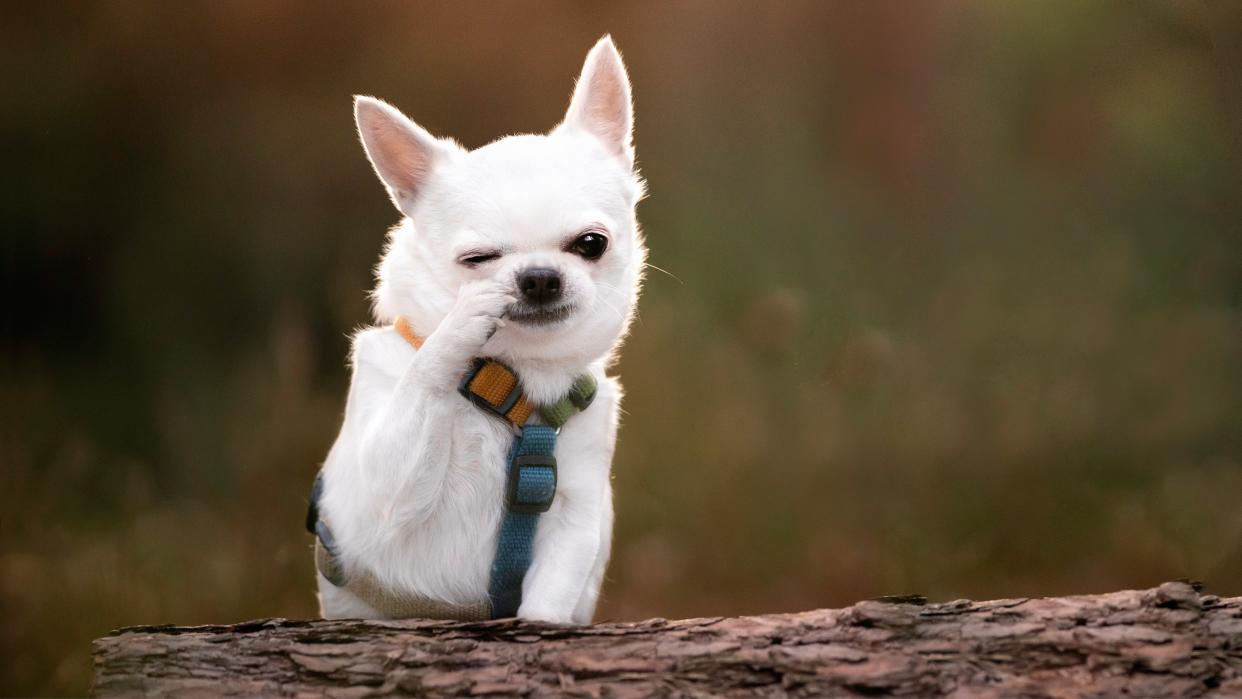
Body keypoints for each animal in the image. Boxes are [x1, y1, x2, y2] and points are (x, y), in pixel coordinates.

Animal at [310, 36, 645, 623]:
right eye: (479, 260)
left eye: (591, 244)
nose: (539, 276)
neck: (510, 383)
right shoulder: (375, 500)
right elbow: (421, 383)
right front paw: (458, 324)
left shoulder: (574, 515)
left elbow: (550, 590)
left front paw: (539, 625)